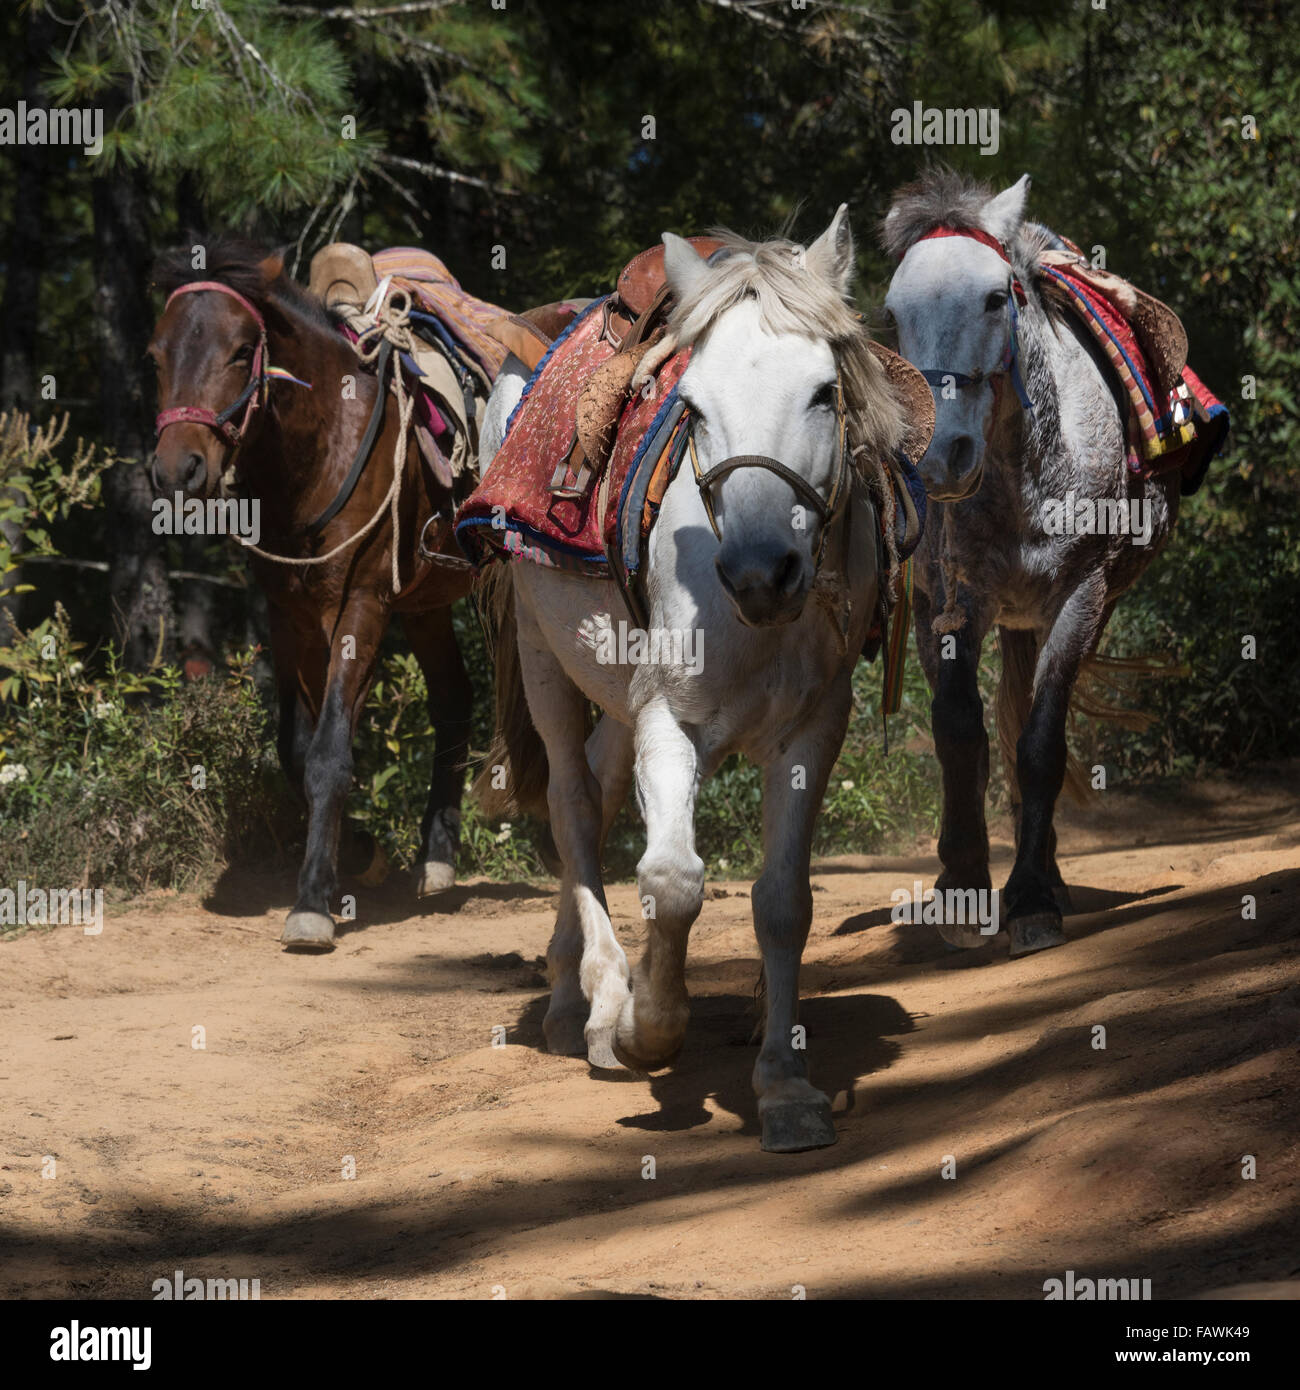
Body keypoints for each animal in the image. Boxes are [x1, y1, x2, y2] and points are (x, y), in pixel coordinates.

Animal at [147, 241, 483, 956]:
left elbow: (329, 751)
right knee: (454, 698)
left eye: (241, 352)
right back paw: (437, 858)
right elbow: (296, 754)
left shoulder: (361, 607)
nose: (178, 470)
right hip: (426, 605)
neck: (321, 444)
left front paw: (311, 904)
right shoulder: (291, 617)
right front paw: (359, 853)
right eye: (155, 357)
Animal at [472, 208, 912, 1150]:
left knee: (599, 794)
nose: (759, 572)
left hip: (615, 692)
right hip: (542, 656)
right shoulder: (670, 723)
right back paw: (589, 1003)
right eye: (694, 405)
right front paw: (647, 1027)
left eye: (825, 392)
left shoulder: (811, 731)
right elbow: (671, 882)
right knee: (572, 808)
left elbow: (782, 901)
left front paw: (783, 1085)